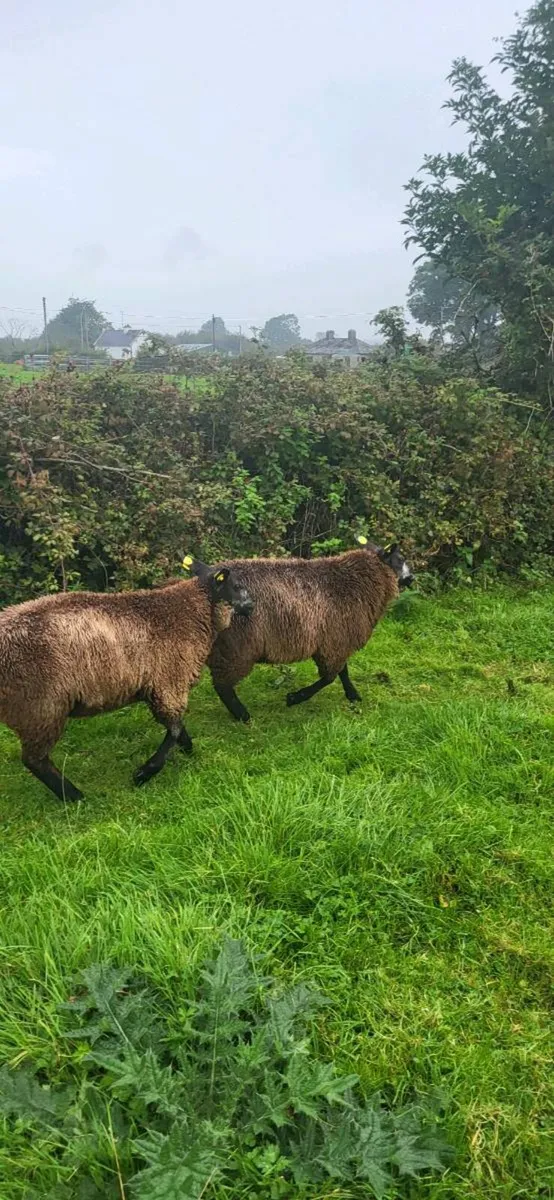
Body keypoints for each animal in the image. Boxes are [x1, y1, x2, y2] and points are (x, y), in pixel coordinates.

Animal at [0, 562, 253, 802]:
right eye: (236, 585)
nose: (251, 605)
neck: (192, 610)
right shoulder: (170, 680)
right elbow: (174, 729)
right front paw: (144, 773)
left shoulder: (157, 686)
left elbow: (176, 727)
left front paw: (188, 750)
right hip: (39, 707)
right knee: (34, 760)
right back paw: (74, 796)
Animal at [192, 543, 413, 723]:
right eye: (399, 559)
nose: (412, 577)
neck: (359, 582)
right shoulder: (335, 642)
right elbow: (329, 677)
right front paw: (295, 698)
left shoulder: (336, 640)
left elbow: (343, 671)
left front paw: (353, 694)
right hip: (237, 648)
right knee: (222, 685)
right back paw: (242, 714)